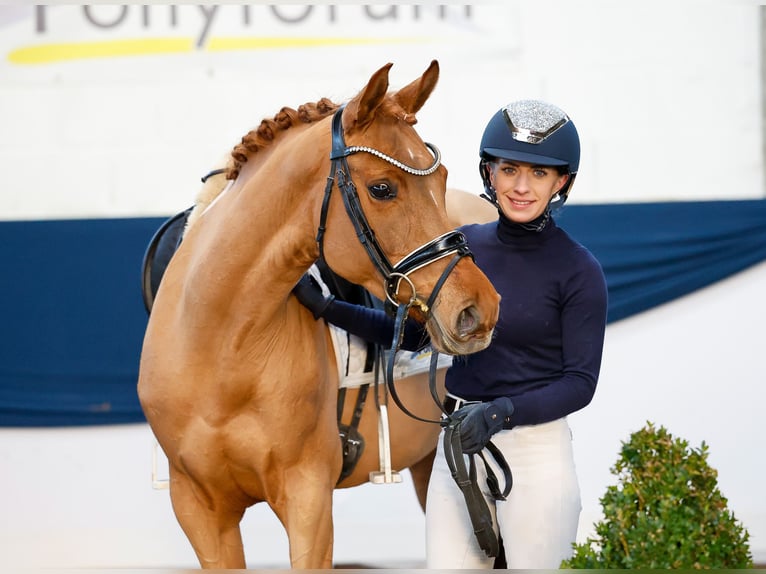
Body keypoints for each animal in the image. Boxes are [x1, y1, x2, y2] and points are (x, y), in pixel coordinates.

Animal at [136, 63, 500, 572]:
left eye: (442, 179)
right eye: (382, 188)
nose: (477, 309)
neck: (218, 344)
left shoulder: (307, 498)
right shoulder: (199, 512)